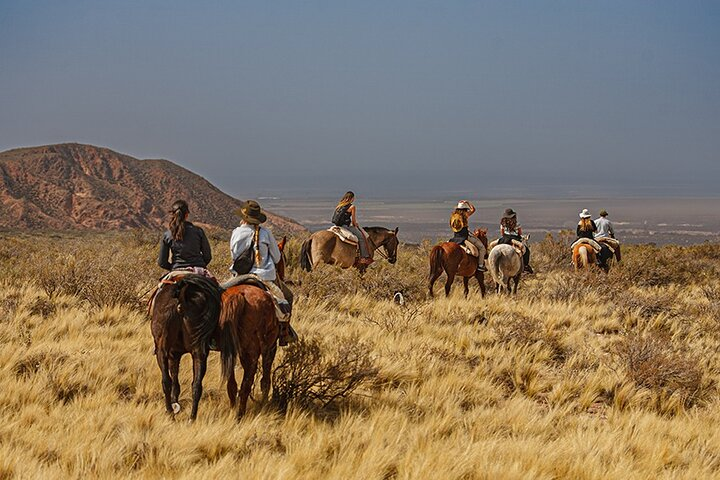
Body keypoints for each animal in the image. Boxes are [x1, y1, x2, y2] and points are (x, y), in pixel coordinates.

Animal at [150, 272, 233, 422]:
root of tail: (181, 296)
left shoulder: (172, 354)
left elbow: (174, 380)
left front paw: (175, 404)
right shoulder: (175, 353)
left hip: (163, 350)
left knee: (166, 380)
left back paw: (170, 412)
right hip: (199, 351)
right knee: (196, 385)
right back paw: (192, 417)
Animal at [219, 284, 278, 418]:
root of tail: (240, 295)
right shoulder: (271, 348)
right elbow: (265, 381)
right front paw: (265, 405)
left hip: (233, 351)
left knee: (233, 384)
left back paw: (234, 411)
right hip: (253, 352)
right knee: (247, 384)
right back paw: (240, 415)